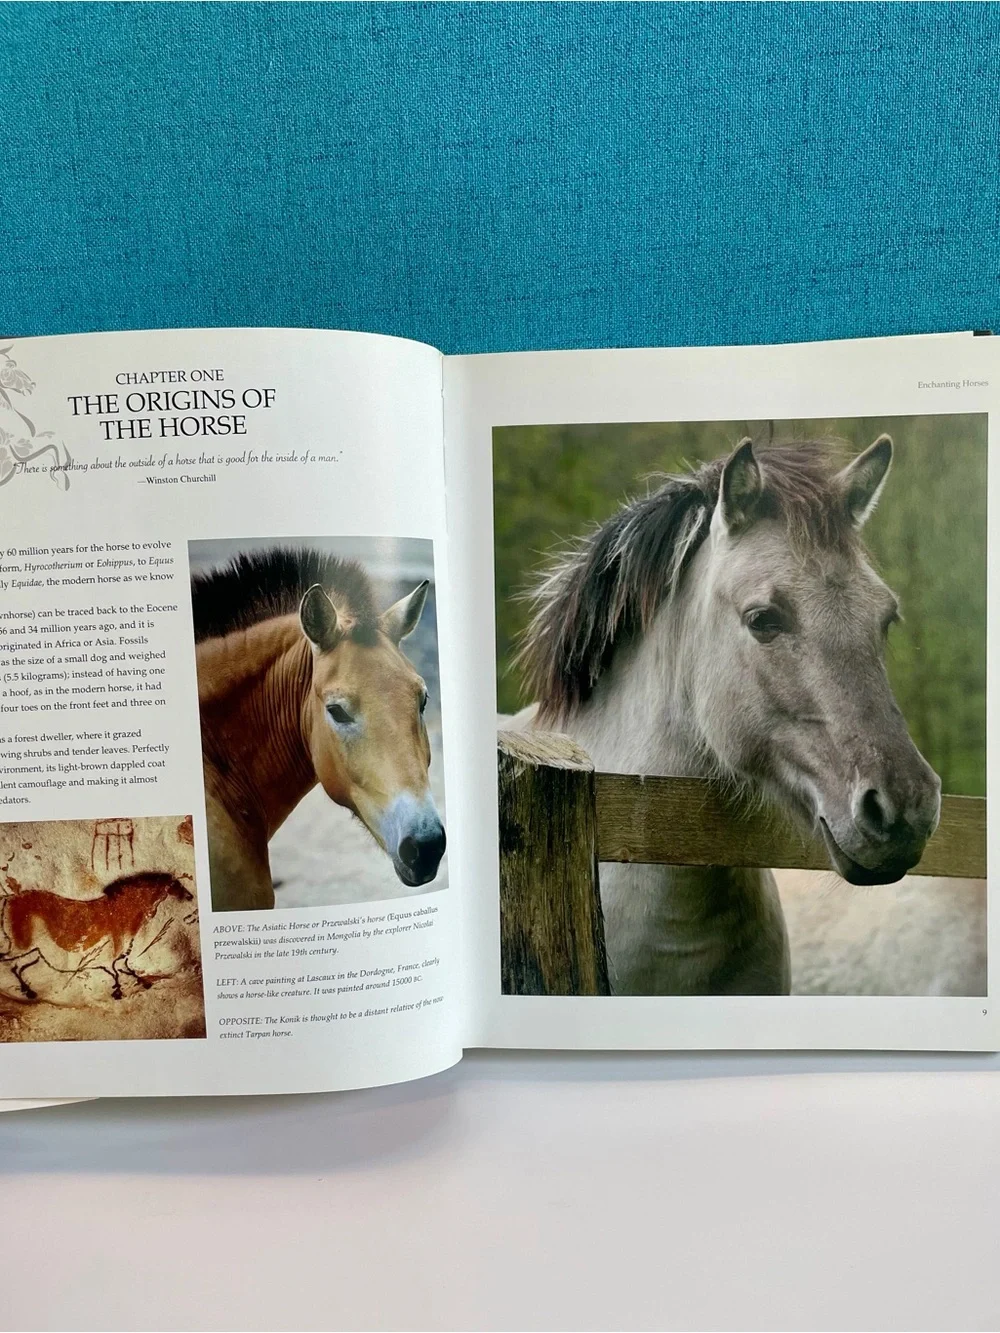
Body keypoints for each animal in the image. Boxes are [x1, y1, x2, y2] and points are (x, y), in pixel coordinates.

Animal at [1, 871, 194, 1000]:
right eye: (175, 884)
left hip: (33, 951)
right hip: (22, 945)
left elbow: (125, 967)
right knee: (11, 964)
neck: (122, 911)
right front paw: (118, 992)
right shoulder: (115, 950)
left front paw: (142, 982)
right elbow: (116, 972)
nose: (190, 896)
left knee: (17, 966)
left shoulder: (122, 951)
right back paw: (28, 991)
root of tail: (9, 899)